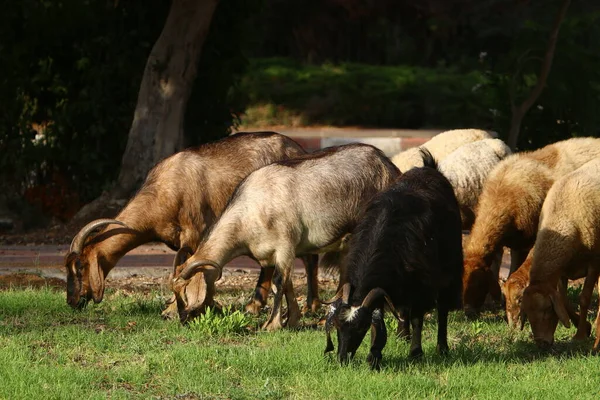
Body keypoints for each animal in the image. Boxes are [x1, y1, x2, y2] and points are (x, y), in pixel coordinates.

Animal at [64, 133, 318, 318]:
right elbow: (180, 268)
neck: (165, 190)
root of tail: (298, 149)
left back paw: (310, 306)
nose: (72, 301)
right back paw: (254, 306)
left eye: (80, 266)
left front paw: (187, 307)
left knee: (309, 257)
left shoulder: (196, 233)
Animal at [170, 144, 398, 332]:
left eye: (183, 292)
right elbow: (287, 284)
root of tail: (389, 166)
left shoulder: (285, 245)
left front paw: (271, 324)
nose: (183, 320)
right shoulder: (276, 254)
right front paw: (292, 319)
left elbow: (278, 283)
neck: (250, 211)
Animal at [326, 149, 462, 368]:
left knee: (442, 307)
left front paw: (415, 352)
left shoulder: (421, 285)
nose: (342, 358)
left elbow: (417, 318)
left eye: (361, 327)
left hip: (450, 269)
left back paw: (442, 347)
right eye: (338, 325)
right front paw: (375, 355)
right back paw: (402, 335)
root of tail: (429, 167)